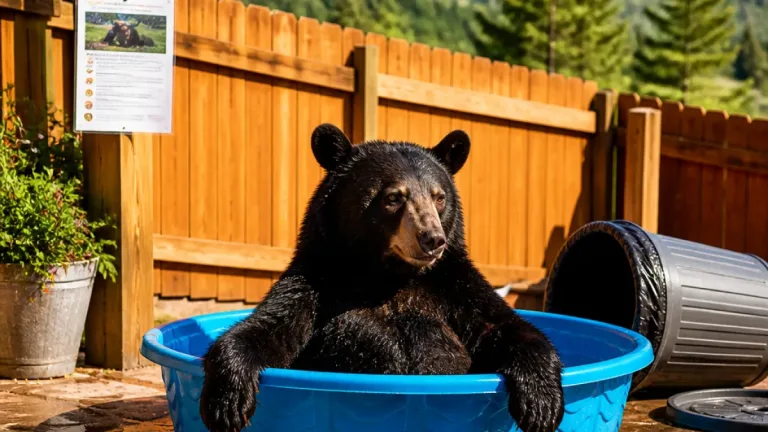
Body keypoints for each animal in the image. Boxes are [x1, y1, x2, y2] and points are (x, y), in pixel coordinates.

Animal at [199, 124, 565, 432]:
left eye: (439, 196)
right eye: (394, 197)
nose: (433, 239)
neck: (388, 277)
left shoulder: (455, 286)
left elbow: (503, 325)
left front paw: (542, 404)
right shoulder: (315, 281)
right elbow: (273, 328)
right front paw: (227, 402)